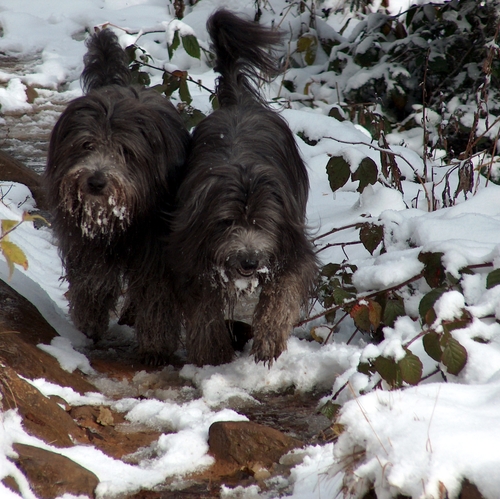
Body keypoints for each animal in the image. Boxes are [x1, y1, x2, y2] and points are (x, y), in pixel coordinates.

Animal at [45, 28, 190, 364]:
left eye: (125, 151)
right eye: (86, 144)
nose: (96, 182)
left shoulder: (157, 248)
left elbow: (157, 293)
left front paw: (156, 346)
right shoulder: (86, 244)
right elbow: (91, 282)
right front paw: (89, 325)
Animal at [170, 8, 318, 368]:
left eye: (263, 222)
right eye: (226, 222)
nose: (249, 262)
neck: (244, 175)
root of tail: (238, 103)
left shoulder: (290, 242)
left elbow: (283, 290)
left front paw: (268, 341)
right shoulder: (190, 251)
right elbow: (203, 306)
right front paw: (213, 351)